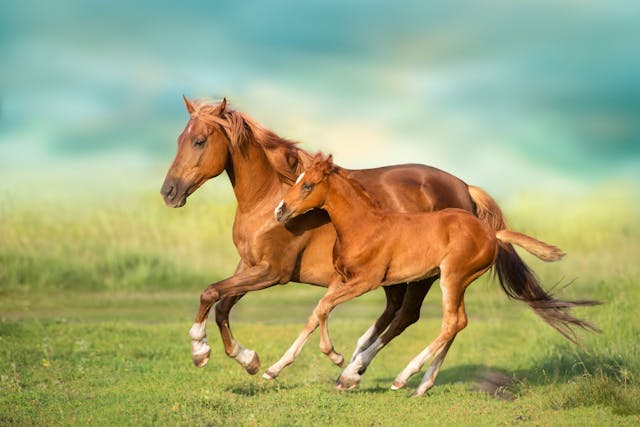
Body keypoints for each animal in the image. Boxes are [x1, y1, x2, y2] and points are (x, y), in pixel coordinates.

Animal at [272, 153, 596, 394]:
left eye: (307, 185)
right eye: (297, 181)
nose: (279, 211)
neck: (364, 225)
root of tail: (492, 233)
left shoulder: (366, 281)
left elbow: (324, 306)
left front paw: (336, 357)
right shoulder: (342, 278)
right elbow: (317, 312)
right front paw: (274, 369)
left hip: (449, 278)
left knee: (449, 321)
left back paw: (401, 378)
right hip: (458, 281)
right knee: (455, 322)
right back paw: (420, 385)